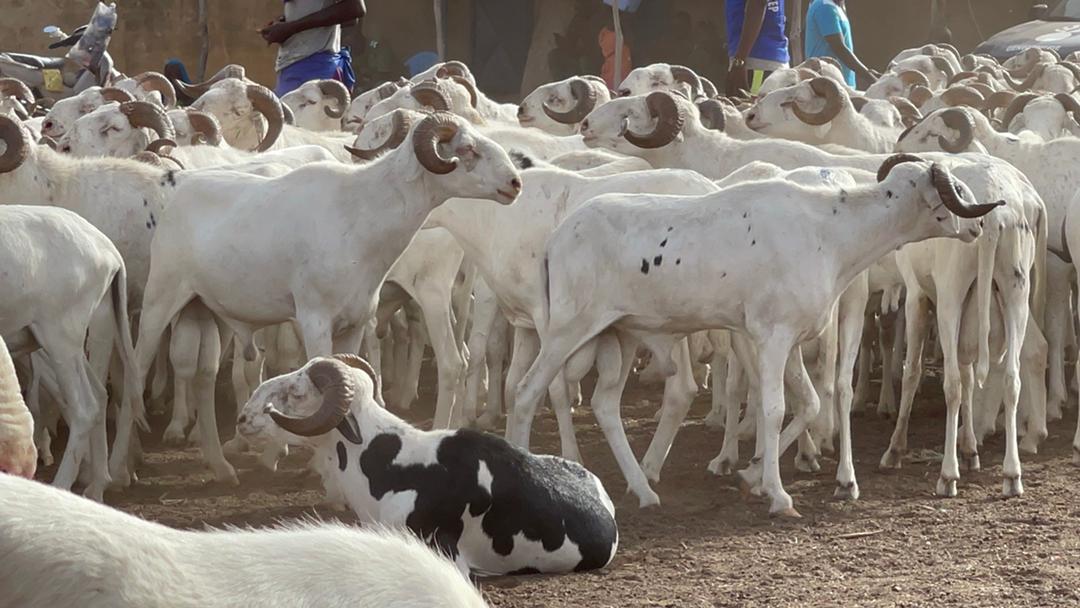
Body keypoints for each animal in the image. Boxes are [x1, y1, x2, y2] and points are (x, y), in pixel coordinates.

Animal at [130, 112, 521, 441]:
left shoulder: (355, 323)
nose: (515, 183)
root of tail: (177, 190)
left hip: (203, 309)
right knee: (141, 360)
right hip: (162, 299)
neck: (361, 213)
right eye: (467, 149)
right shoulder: (315, 320)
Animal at [510, 156, 1000, 517]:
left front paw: (752, 476)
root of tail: (556, 239)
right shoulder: (773, 337)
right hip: (567, 330)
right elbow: (774, 408)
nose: (978, 227)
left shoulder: (791, 339)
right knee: (526, 393)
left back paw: (644, 490)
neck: (830, 233)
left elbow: (809, 403)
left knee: (605, 405)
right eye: (955, 188)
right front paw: (778, 496)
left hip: (622, 333)